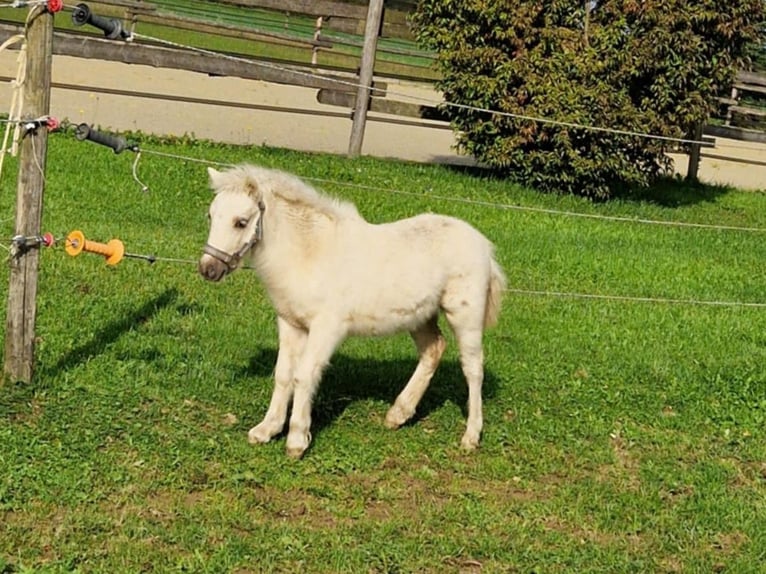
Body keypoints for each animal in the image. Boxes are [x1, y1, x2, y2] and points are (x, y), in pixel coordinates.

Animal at [198, 164, 506, 458]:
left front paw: (297, 440)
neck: (310, 254)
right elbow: (283, 374)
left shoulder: (327, 327)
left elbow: (304, 375)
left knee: (473, 368)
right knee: (433, 349)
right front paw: (266, 429)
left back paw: (470, 436)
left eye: (241, 222)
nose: (208, 269)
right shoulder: (290, 323)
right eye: (211, 216)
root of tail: (483, 245)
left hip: (465, 316)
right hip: (420, 316)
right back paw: (398, 414)